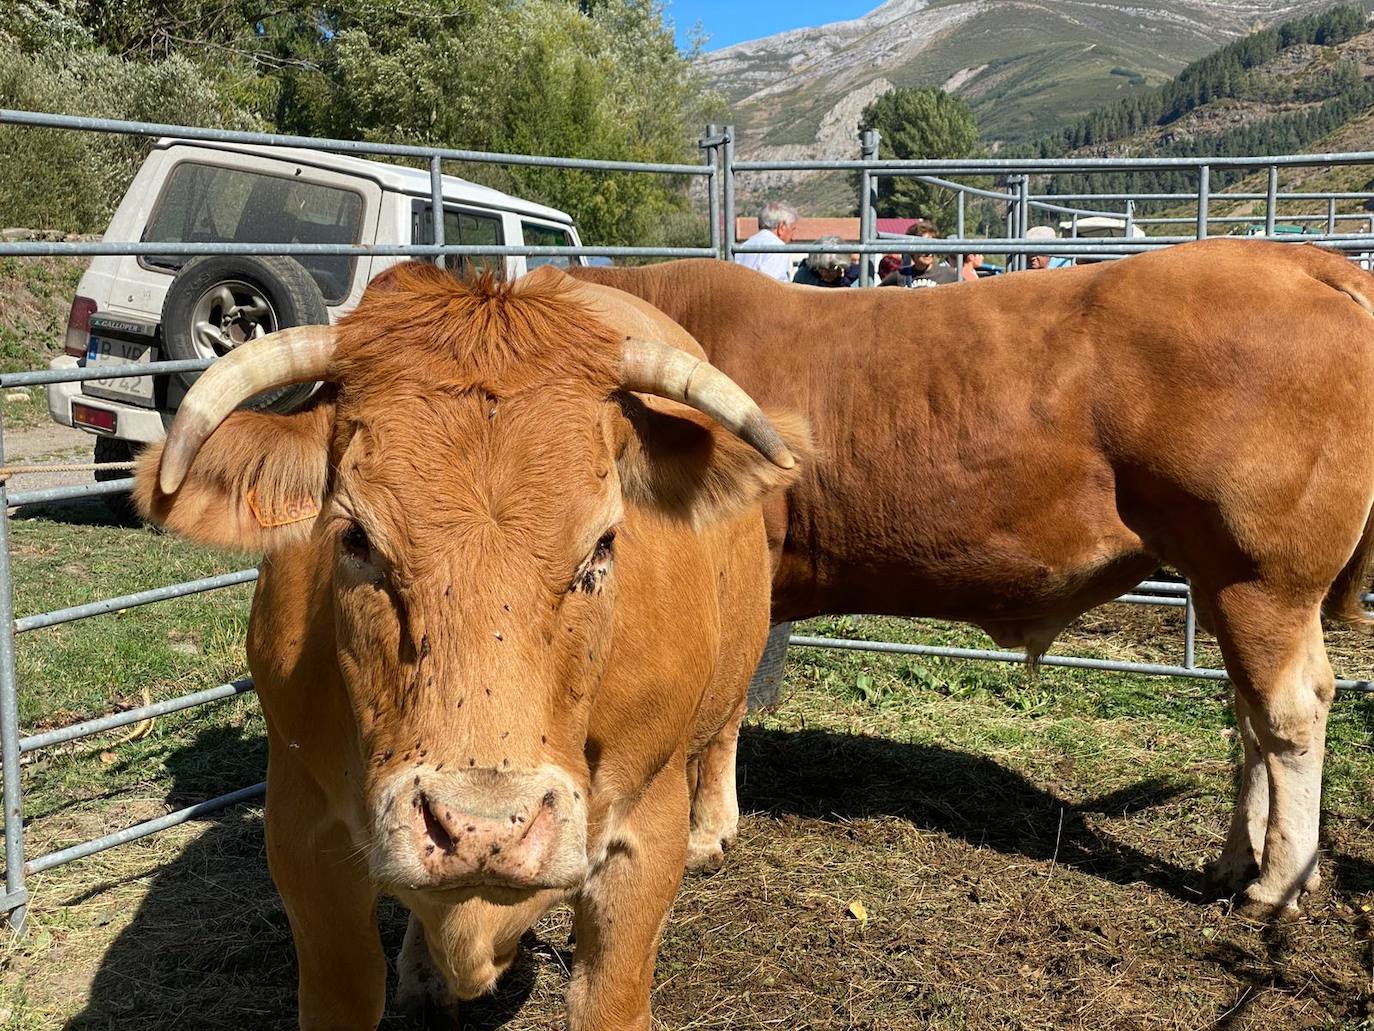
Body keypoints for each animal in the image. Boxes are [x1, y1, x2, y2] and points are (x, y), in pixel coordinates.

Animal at [131, 262, 802, 1028]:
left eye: (603, 544)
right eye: (354, 536)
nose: (485, 829)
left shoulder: (643, 832)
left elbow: (610, 998)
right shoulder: (303, 833)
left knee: (724, 728)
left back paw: (712, 831)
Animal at [571, 237, 1374, 918]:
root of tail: (1290, 258)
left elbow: (723, 711)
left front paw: (707, 834)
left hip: (1259, 574)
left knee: (1290, 712)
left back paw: (1276, 883)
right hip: (1224, 581)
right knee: (1250, 715)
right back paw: (1236, 862)